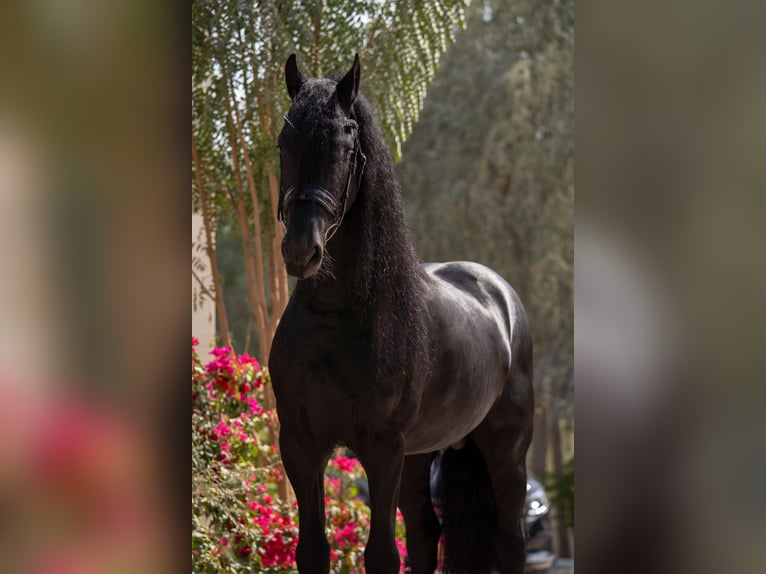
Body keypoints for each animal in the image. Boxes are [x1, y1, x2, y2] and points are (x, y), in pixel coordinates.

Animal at [269, 53, 534, 574]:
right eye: (285, 144)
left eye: (344, 144)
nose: (301, 251)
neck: (335, 321)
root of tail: (502, 297)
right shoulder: (302, 445)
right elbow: (313, 550)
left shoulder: (382, 447)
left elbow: (381, 555)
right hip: (420, 455)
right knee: (426, 534)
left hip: (507, 452)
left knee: (510, 541)